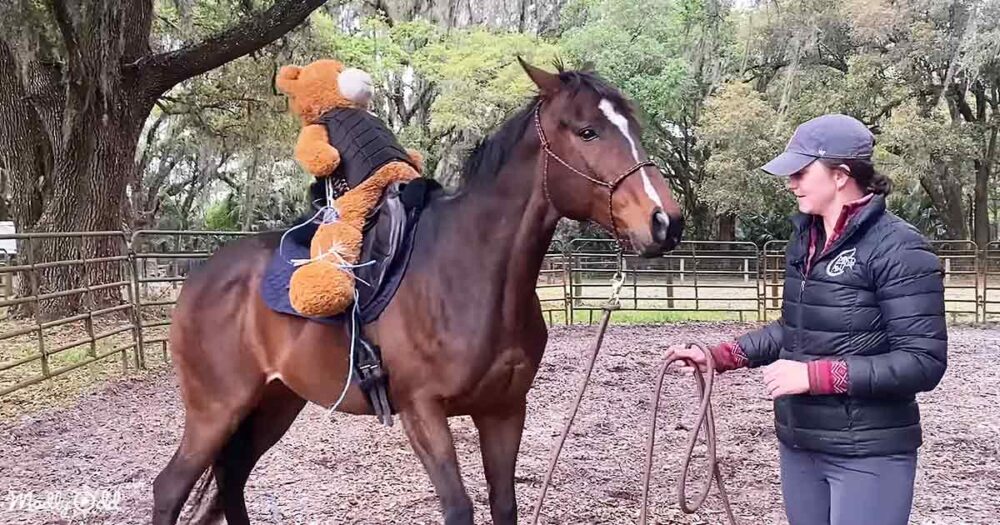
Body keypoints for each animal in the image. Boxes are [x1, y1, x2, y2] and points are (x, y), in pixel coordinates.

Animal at [152, 58, 685, 525]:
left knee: (230, 480)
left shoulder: (504, 410)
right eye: (587, 131)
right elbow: (459, 509)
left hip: (273, 403)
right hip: (216, 410)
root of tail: (199, 278)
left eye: (634, 128)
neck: (470, 272)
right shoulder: (422, 412)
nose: (666, 222)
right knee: (170, 488)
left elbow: (504, 505)